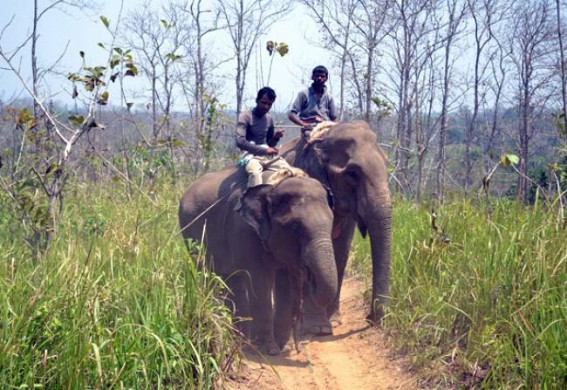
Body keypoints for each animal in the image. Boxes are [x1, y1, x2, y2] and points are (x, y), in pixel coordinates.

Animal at [179, 166, 338, 354]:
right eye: (295, 226)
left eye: (332, 222)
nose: (308, 274)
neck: (273, 186)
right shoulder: (243, 229)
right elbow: (260, 281)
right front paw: (270, 350)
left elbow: (284, 282)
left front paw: (282, 346)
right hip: (190, 234)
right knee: (210, 275)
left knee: (231, 280)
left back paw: (241, 339)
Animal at [280, 120, 394, 334]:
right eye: (352, 174)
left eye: (387, 166)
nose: (370, 319)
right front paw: (318, 329)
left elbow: (341, 251)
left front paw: (333, 321)